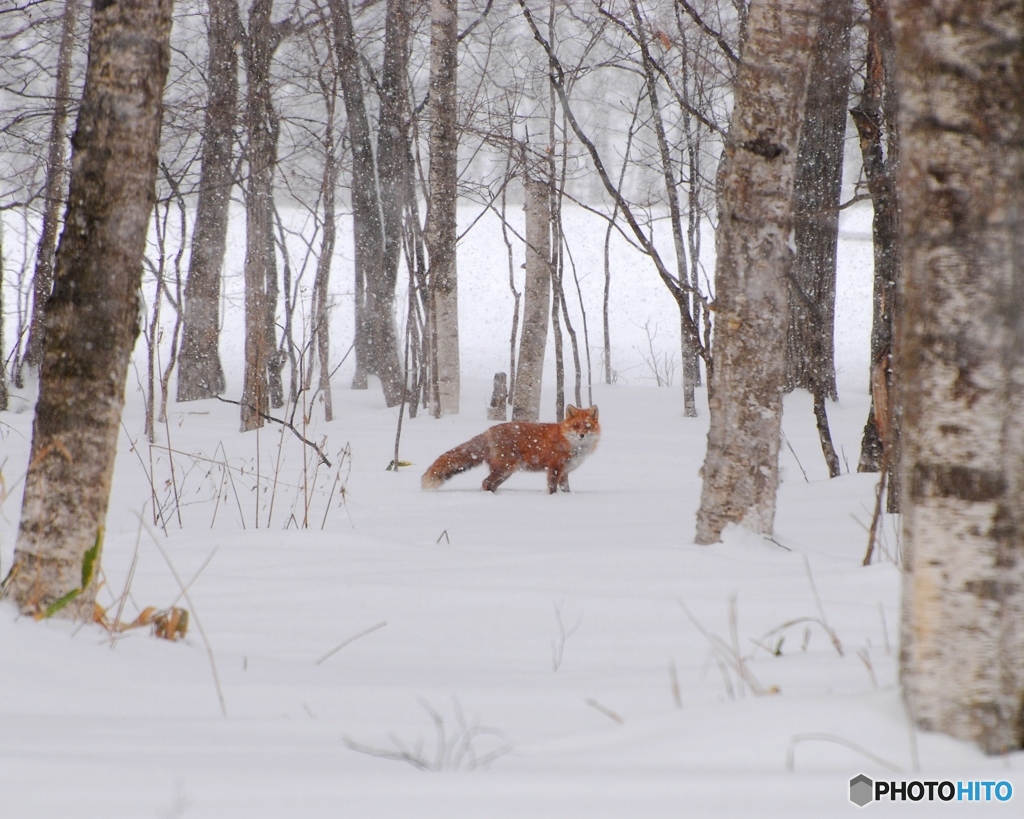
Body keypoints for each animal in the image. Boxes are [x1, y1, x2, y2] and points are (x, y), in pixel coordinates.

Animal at [421, 405, 598, 493]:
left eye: (587, 426)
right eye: (576, 426)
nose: (582, 435)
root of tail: (489, 431)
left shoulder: (565, 472)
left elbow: (566, 490)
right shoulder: (554, 469)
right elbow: (552, 489)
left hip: (506, 473)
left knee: (490, 484)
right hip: (504, 469)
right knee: (486, 482)